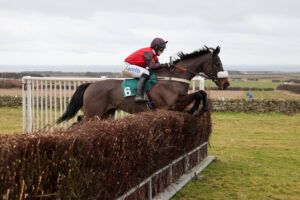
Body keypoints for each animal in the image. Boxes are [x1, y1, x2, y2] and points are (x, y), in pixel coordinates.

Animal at [56, 46, 230, 122]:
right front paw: (196, 109)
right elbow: (199, 93)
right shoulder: (169, 105)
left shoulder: (177, 104)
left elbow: (201, 93)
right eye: (217, 64)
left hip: (107, 114)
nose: (227, 83)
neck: (173, 79)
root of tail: (90, 85)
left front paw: (197, 109)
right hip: (93, 114)